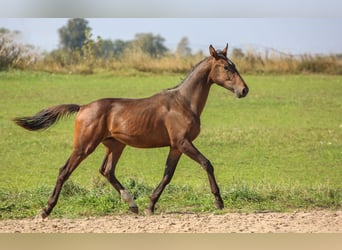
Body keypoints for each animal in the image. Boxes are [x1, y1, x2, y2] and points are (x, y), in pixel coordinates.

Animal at [13, 45, 248, 219]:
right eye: (225, 67)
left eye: (233, 65)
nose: (244, 90)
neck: (183, 102)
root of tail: (82, 107)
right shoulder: (183, 142)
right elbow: (207, 163)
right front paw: (219, 201)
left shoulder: (176, 146)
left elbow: (167, 175)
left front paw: (150, 206)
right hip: (84, 146)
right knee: (65, 171)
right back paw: (46, 210)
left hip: (115, 145)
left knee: (107, 171)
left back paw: (132, 204)